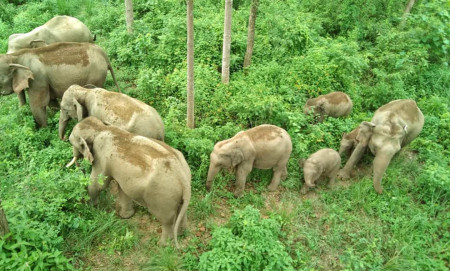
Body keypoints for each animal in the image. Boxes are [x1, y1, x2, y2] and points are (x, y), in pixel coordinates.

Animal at [65, 117, 190, 249]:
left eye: (72, 142)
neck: (101, 128)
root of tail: (181, 174)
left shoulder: (101, 157)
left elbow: (98, 184)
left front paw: (92, 208)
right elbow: (122, 189)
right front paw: (125, 216)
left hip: (162, 195)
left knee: (166, 220)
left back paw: (162, 245)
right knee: (182, 210)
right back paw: (181, 234)